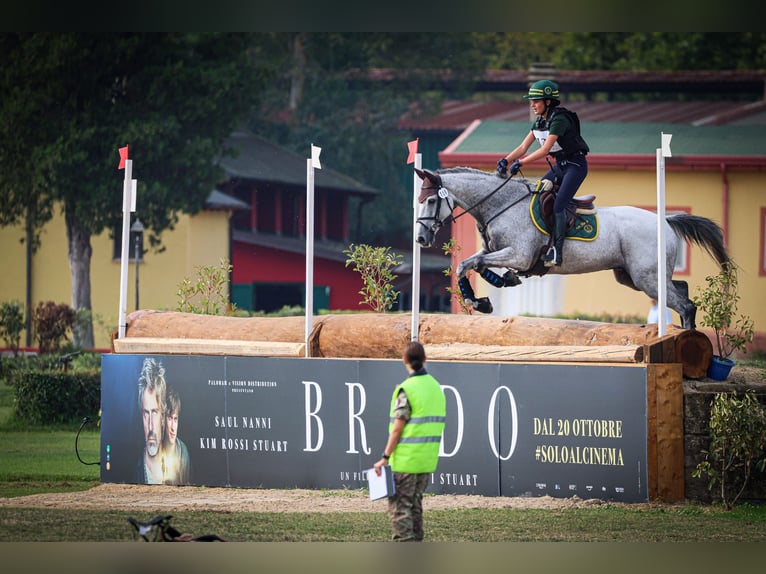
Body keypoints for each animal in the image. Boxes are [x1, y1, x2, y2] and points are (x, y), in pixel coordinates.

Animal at [414, 167, 731, 330]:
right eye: (419, 201)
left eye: (430, 201)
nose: (420, 239)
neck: (500, 204)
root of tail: (665, 220)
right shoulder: (496, 251)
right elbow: (468, 264)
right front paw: (486, 297)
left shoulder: (519, 254)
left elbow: (475, 264)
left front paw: (483, 299)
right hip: (633, 276)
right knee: (681, 289)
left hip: (646, 278)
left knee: (685, 304)